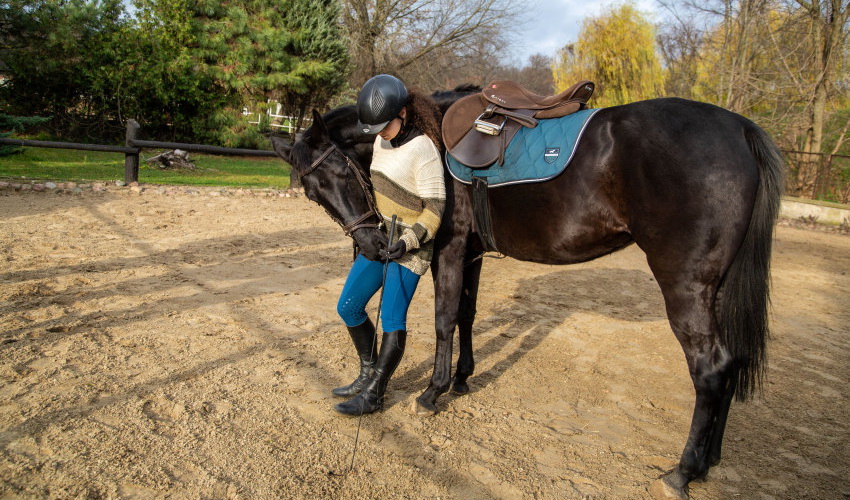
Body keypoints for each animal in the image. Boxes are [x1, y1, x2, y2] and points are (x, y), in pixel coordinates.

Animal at [272, 93, 780, 496]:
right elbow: (467, 314)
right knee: (731, 361)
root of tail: (740, 128)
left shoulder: (450, 246)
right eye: (313, 192)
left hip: (686, 286)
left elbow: (443, 317)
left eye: (341, 172)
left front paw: (433, 391)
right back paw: (710, 459)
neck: (426, 135)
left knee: (710, 368)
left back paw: (683, 470)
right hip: (715, 289)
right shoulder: (473, 252)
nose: (372, 246)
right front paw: (462, 378)